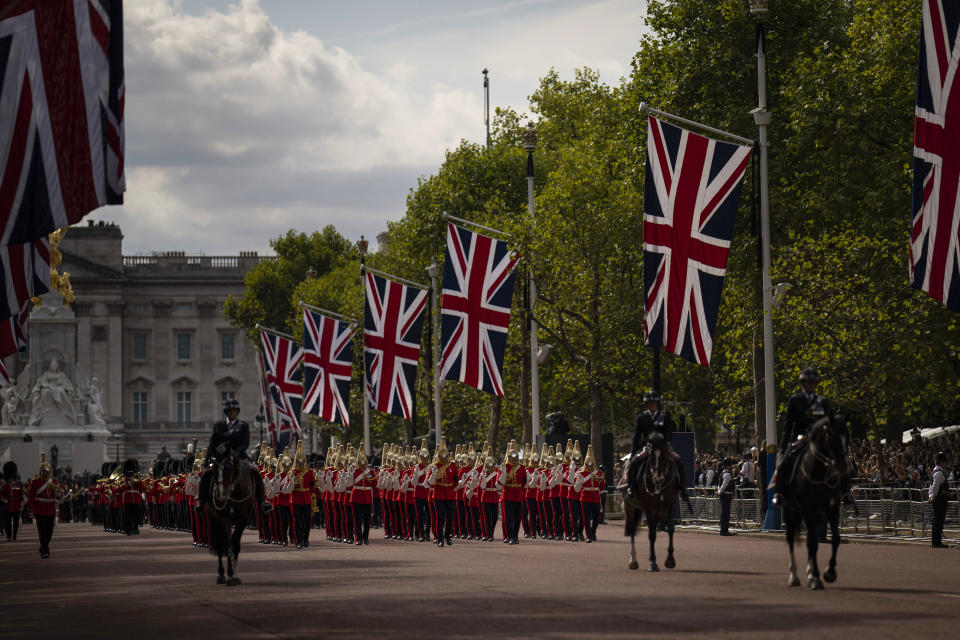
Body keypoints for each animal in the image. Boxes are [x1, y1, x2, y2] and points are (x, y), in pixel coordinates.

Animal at [203, 448, 256, 588]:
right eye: (214, 469)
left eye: (228, 468)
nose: (220, 495)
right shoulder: (223, 518)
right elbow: (227, 546)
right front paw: (230, 575)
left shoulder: (243, 519)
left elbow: (235, 544)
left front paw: (235, 575)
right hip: (214, 518)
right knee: (220, 544)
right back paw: (221, 574)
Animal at [620, 432, 680, 572]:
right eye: (651, 455)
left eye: (665, 454)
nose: (657, 478)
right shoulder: (649, 508)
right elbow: (651, 534)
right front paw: (653, 562)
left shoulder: (670, 505)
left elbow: (670, 528)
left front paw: (670, 560)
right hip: (630, 507)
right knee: (632, 530)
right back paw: (633, 560)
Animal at [780, 416, 848, 592]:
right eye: (830, 437)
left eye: (847, 436)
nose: (843, 466)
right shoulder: (808, 509)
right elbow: (812, 542)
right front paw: (816, 577)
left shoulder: (832, 508)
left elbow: (835, 538)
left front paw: (829, 572)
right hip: (789, 511)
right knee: (791, 538)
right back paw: (794, 575)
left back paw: (809, 571)